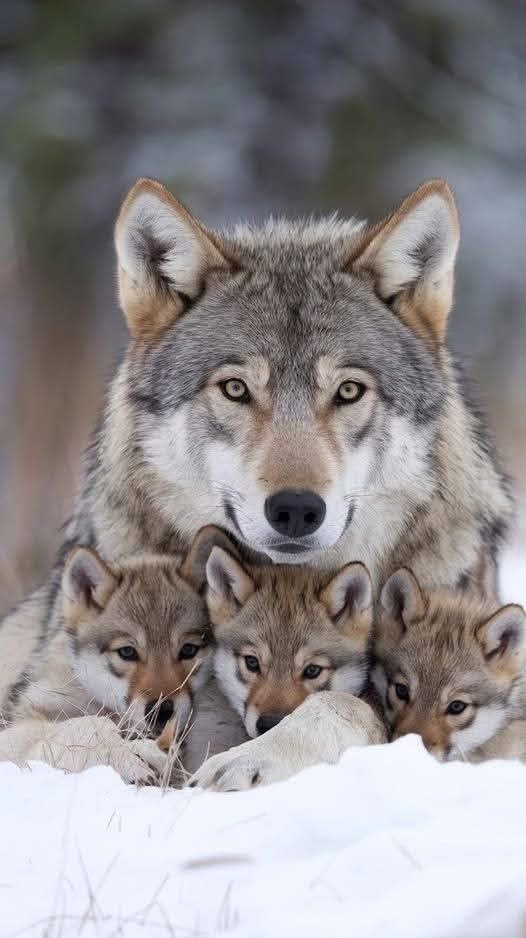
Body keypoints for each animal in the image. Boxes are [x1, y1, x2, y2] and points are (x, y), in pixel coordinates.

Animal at [0, 176, 512, 774]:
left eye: (349, 390)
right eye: (235, 389)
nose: (296, 509)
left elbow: (338, 706)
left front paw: (252, 760)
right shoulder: (26, 716)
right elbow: (77, 731)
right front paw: (131, 758)